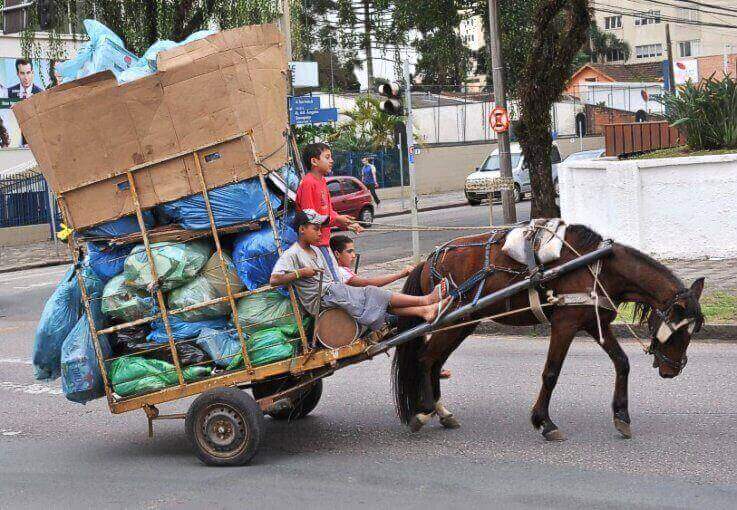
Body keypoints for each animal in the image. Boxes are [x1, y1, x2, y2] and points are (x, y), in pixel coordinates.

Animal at [394, 221, 704, 440]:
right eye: (679, 331)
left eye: (692, 332)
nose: (672, 370)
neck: (598, 266)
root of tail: (428, 260)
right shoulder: (565, 323)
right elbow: (551, 373)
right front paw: (544, 422)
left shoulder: (595, 323)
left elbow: (622, 363)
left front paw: (622, 417)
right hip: (451, 321)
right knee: (425, 359)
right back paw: (424, 411)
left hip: (463, 323)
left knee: (435, 362)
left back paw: (441, 411)